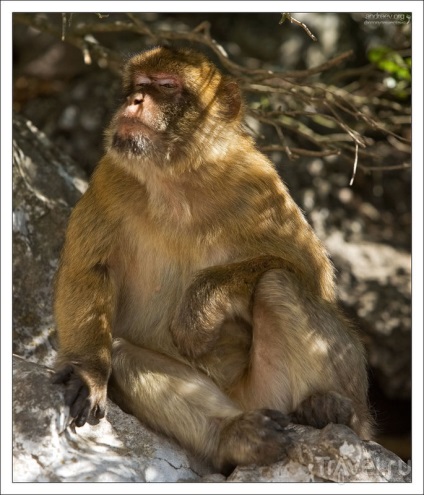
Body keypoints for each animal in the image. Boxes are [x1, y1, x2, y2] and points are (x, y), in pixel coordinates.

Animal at [52, 47, 372, 476]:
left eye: (166, 86)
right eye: (139, 84)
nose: (134, 101)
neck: (176, 180)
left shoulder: (257, 183)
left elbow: (313, 276)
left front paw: (200, 308)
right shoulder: (109, 177)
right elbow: (89, 270)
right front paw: (88, 373)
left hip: (273, 391)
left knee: (278, 283)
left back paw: (334, 408)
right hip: (253, 402)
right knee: (122, 355)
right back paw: (237, 437)